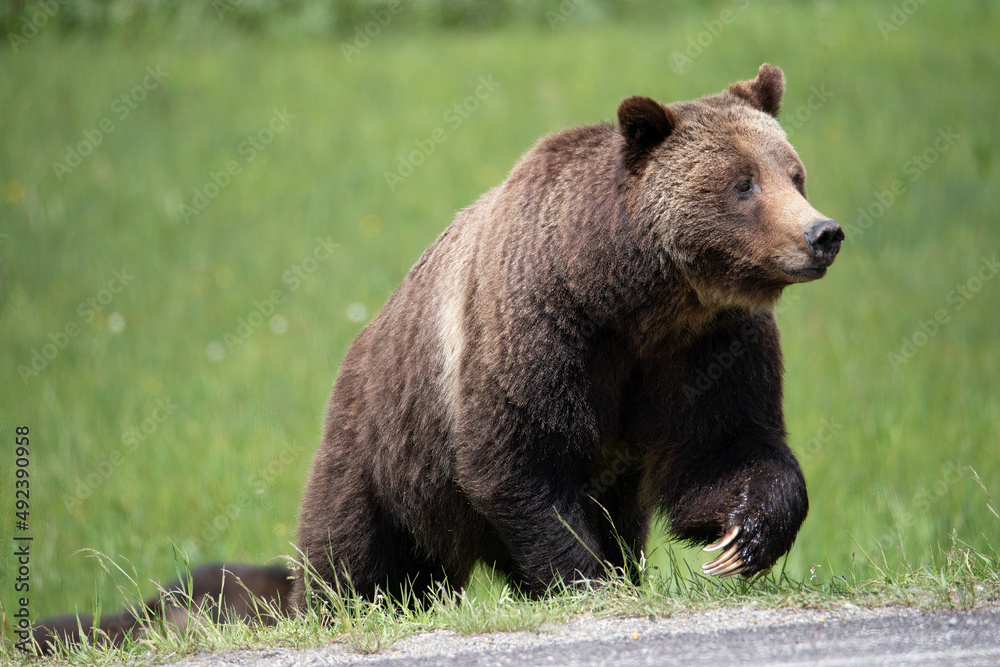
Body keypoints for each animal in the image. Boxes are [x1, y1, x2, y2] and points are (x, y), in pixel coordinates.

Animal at [292, 63, 843, 606]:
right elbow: (521, 461)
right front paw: (584, 579)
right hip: (384, 446)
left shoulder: (710, 345)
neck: (632, 301)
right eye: (743, 184)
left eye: (795, 175)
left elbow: (721, 447)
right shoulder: (542, 329)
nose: (823, 234)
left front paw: (741, 538)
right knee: (351, 552)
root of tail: (363, 340)